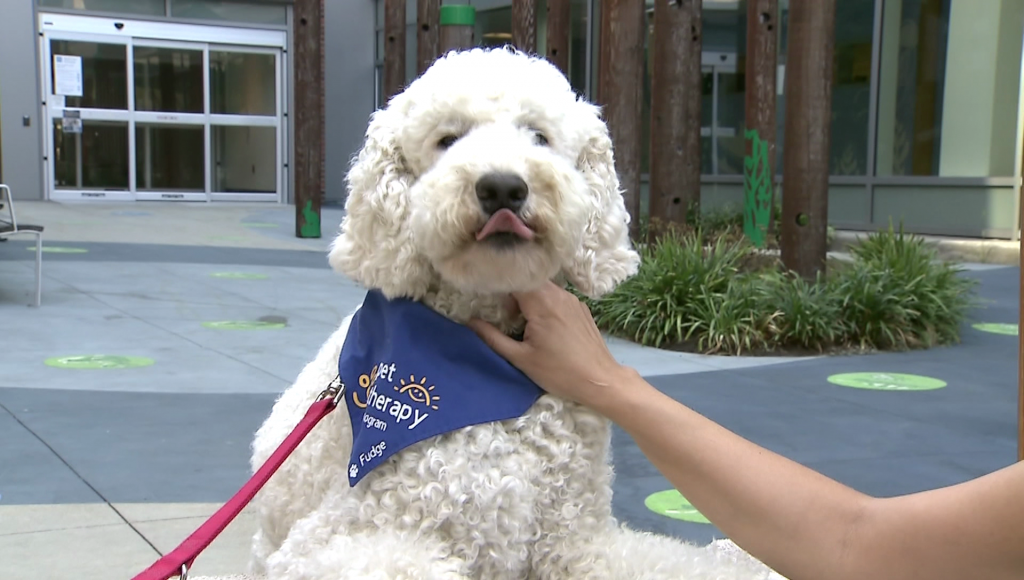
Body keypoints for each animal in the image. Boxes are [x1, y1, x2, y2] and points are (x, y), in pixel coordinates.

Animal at [209, 48, 782, 580]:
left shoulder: (577, 539)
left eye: (539, 136)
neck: (489, 366)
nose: (503, 186)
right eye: (447, 139)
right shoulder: (336, 541)